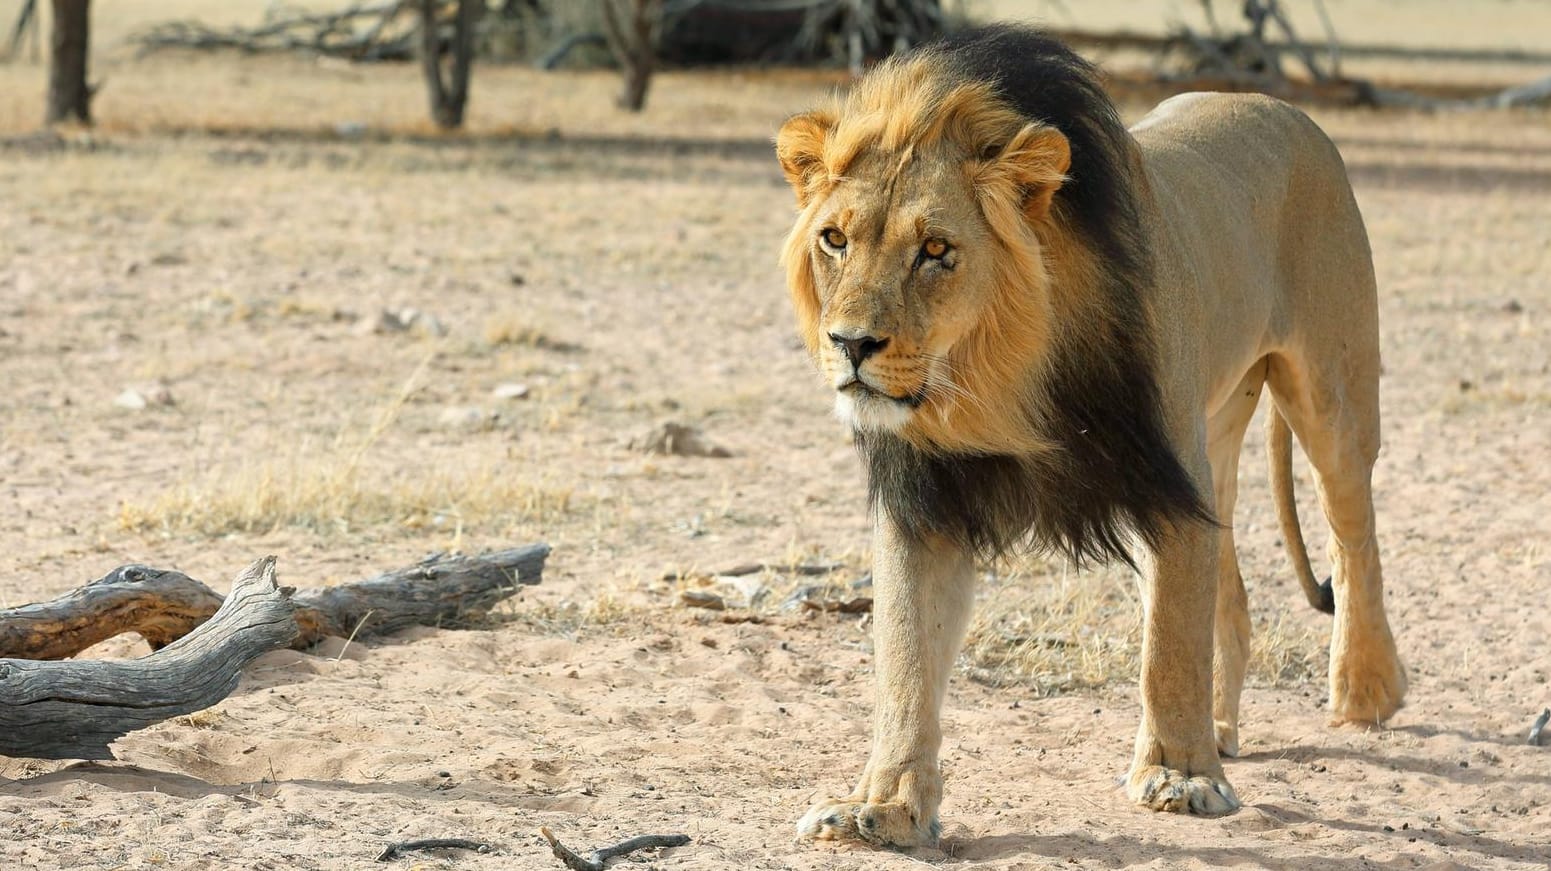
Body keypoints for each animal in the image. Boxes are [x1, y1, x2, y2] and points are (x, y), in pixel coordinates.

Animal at [772, 25, 1408, 843]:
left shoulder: (1166, 482)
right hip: (1217, 431)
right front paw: (883, 805)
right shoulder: (925, 503)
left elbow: (1168, 645)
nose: (850, 343)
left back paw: (1365, 691)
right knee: (1232, 589)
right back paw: (1223, 726)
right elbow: (906, 658)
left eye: (936, 250)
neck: (997, 379)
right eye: (834, 240)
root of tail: (1279, 106)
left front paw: (1179, 776)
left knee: (1351, 532)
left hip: (1330, 391)